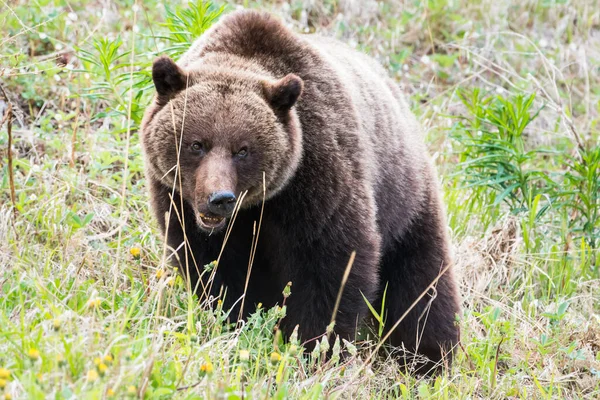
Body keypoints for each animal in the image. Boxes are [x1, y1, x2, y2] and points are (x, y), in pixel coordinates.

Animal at [141, 10, 460, 372]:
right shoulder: (180, 203)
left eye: (243, 150)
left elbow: (332, 266)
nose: (219, 199)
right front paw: (240, 324)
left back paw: (429, 358)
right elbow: (217, 271)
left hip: (405, 197)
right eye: (197, 144)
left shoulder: (316, 180)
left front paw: (313, 347)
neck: (258, 207)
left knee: (423, 284)